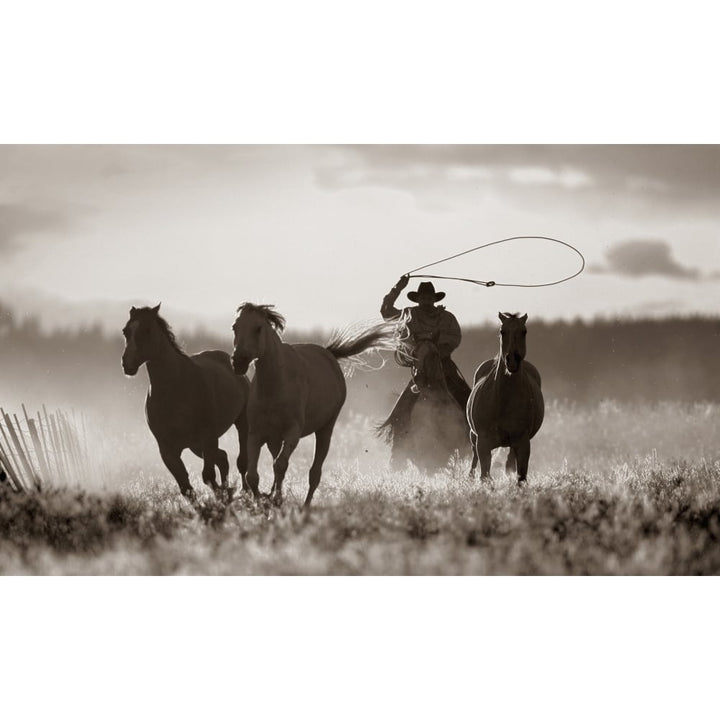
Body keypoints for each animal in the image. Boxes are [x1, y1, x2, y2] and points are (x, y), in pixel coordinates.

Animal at [121, 304, 250, 500]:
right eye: (126, 331)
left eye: (147, 330)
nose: (127, 363)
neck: (175, 389)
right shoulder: (167, 449)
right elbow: (185, 487)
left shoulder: (207, 438)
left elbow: (207, 477)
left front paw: (222, 496)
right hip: (196, 446)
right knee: (222, 458)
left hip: (237, 425)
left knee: (241, 460)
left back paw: (245, 491)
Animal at [233, 300, 396, 510]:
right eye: (235, 327)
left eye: (258, 328)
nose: (238, 361)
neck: (275, 384)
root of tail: (329, 354)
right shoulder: (256, 434)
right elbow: (253, 475)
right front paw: (262, 501)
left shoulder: (292, 433)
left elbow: (280, 465)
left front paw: (276, 500)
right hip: (274, 439)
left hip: (325, 430)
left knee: (314, 473)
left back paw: (305, 506)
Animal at [470, 310, 544, 484]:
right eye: (502, 331)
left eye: (524, 331)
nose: (512, 360)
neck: (502, 401)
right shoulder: (483, 442)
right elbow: (485, 474)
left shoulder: (522, 442)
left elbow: (521, 476)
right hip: (473, 437)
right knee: (474, 458)